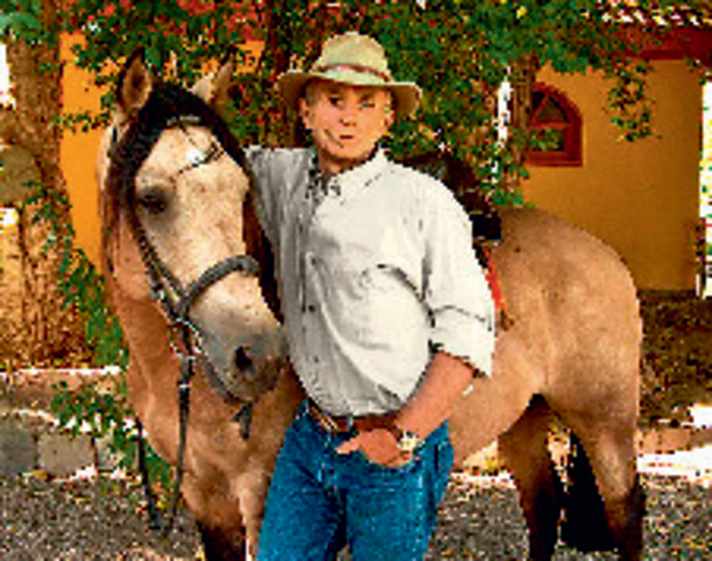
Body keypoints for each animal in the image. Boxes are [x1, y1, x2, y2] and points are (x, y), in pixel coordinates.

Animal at [97, 51, 645, 561]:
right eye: (151, 198)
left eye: (242, 194)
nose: (258, 355)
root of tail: (604, 252)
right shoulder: (205, 498)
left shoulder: (260, 494)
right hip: (524, 418)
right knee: (544, 505)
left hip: (605, 420)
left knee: (625, 510)